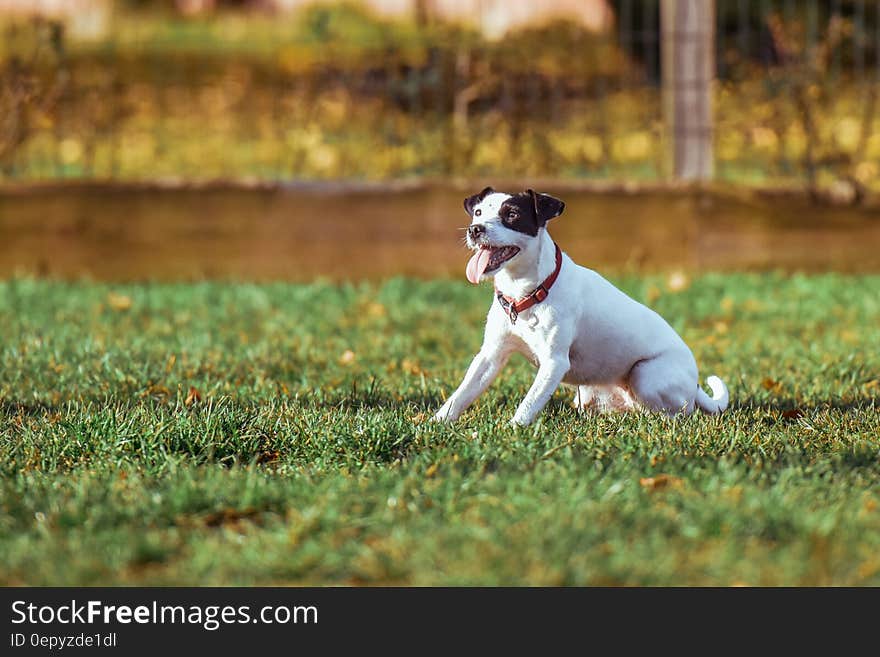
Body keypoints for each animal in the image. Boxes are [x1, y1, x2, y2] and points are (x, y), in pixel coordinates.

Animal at [434, 187, 728, 428]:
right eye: (478, 212)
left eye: (512, 214)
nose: (475, 229)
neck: (528, 292)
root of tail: (695, 385)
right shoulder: (490, 355)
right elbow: (462, 393)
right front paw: (438, 422)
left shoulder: (554, 362)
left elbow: (529, 403)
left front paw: (512, 430)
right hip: (591, 391)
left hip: (646, 375)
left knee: (676, 413)